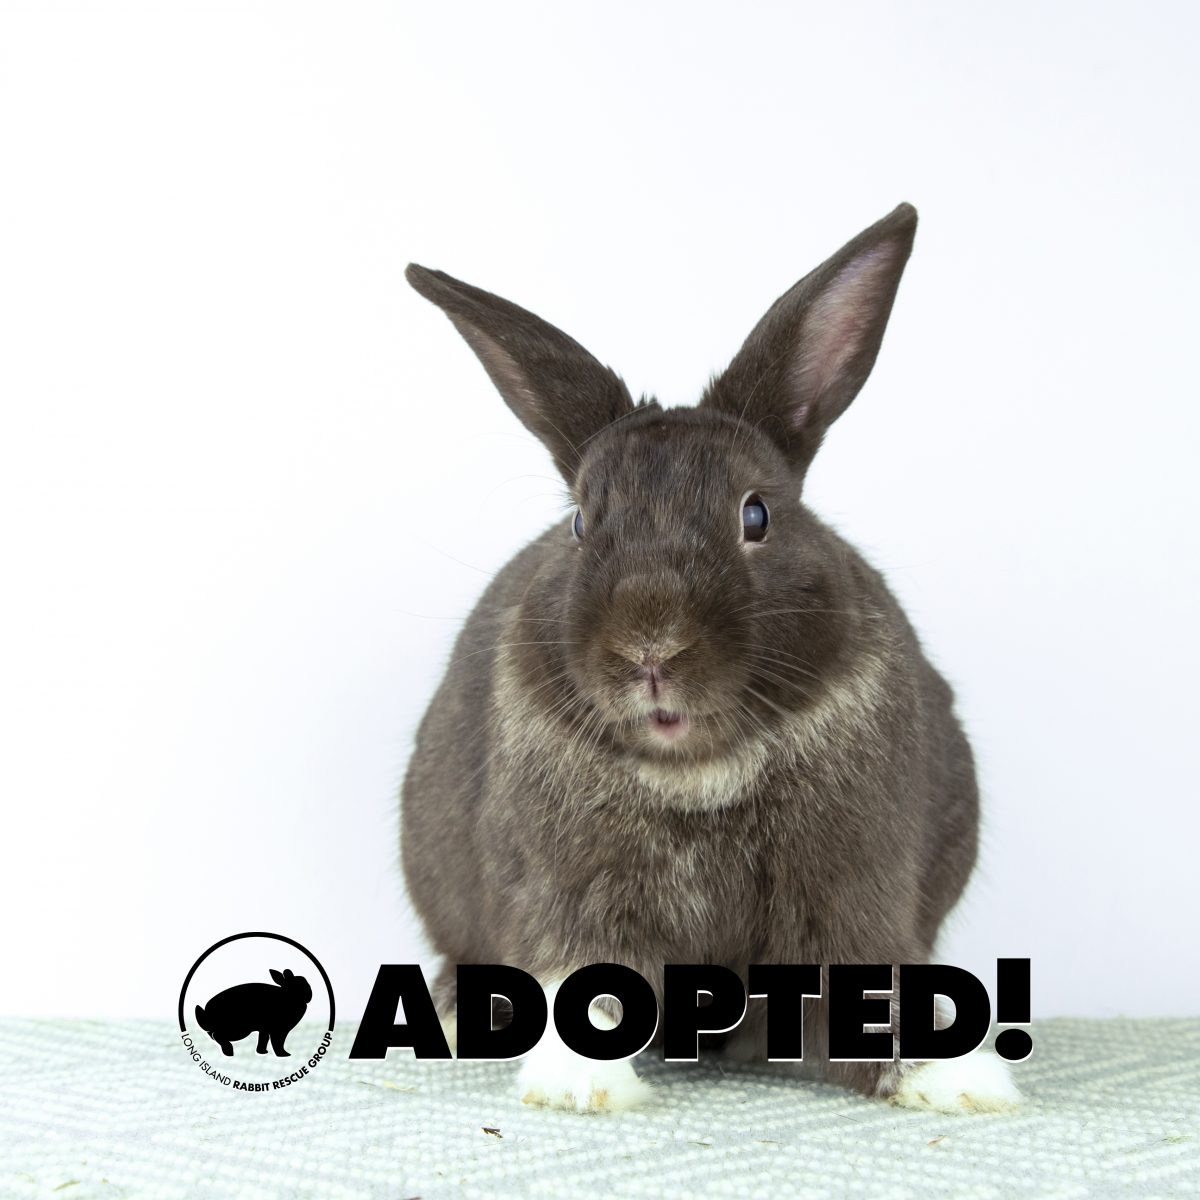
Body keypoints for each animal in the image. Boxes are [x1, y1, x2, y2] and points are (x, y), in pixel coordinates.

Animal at [400, 203, 1018, 1115]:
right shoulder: (567, 892)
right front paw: (581, 1086)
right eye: (581, 522)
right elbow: (578, 980)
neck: (694, 767)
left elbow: (868, 986)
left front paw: (961, 1082)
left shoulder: (850, 891)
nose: (650, 648)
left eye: (756, 514)